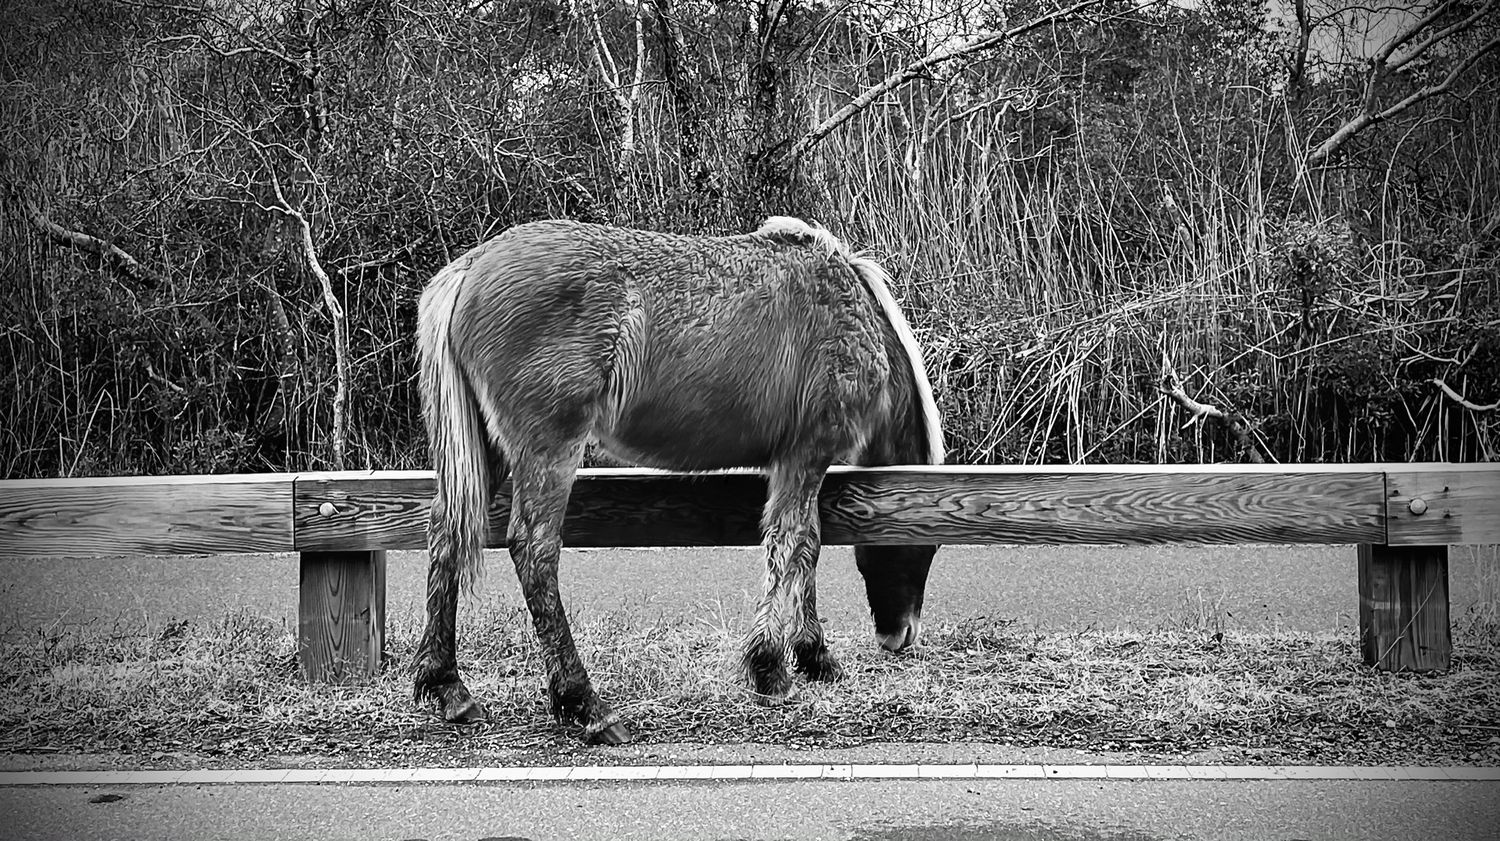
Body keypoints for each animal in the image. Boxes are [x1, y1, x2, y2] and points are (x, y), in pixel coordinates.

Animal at [412, 216, 945, 744]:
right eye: (927, 545)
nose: (899, 635)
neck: (847, 309)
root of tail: (471, 266)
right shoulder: (805, 458)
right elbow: (791, 544)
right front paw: (771, 669)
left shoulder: (797, 465)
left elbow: (807, 547)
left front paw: (814, 655)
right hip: (549, 448)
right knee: (534, 550)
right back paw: (586, 703)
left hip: (488, 452)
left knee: (448, 534)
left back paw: (449, 688)